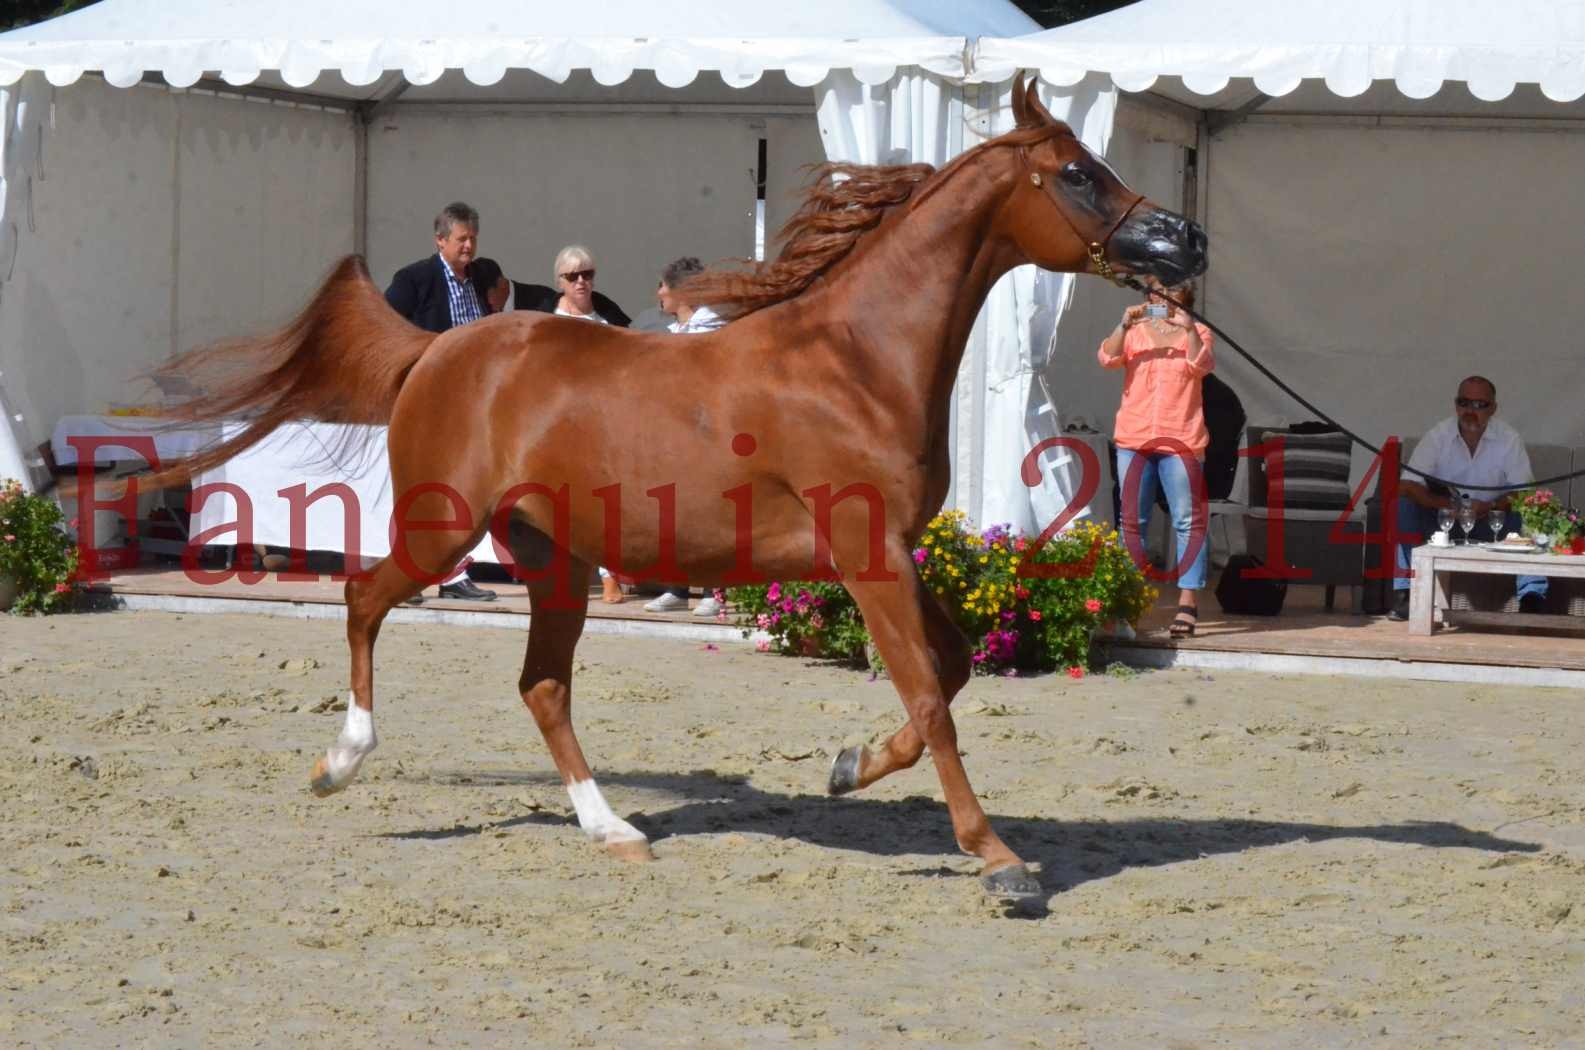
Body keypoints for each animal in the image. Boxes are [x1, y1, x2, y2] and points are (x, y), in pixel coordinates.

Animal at [157, 82, 1198, 907]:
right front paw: (1000, 863)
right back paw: (340, 763)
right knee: (362, 598)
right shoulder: (870, 559)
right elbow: (933, 697)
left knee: (541, 686)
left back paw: (611, 828)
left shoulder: (893, 556)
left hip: (552, 559)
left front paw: (847, 766)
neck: (856, 361)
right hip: (443, 530)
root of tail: (439, 348)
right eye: (1076, 172)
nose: (1183, 240)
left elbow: (946, 674)